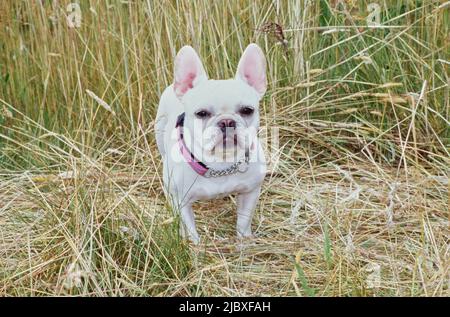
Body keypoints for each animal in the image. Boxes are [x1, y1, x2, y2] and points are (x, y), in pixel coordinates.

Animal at [156, 43, 268, 243]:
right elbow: (190, 229)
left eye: (247, 110)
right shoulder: (182, 202)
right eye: (201, 113)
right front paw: (193, 244)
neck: (220, 164)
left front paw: (244, 240)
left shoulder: (250, 193)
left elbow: (243, 222)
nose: (227, 121)